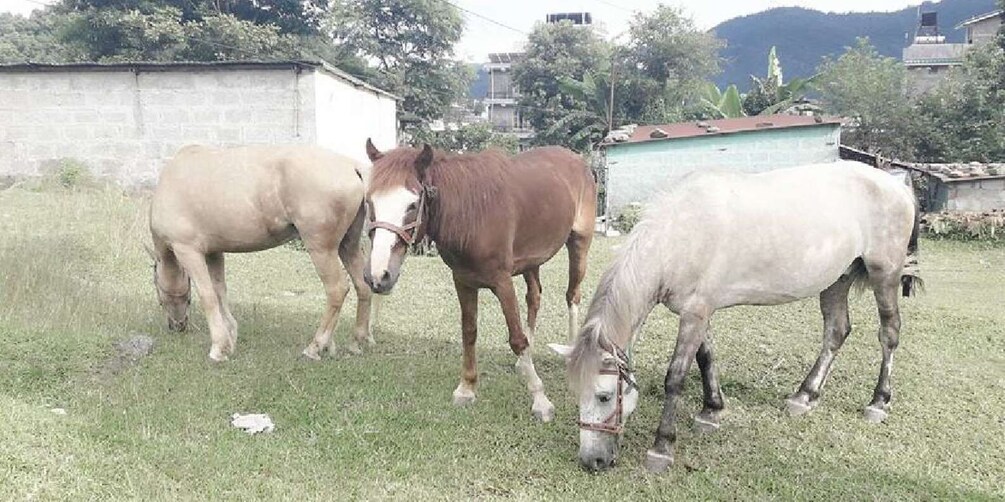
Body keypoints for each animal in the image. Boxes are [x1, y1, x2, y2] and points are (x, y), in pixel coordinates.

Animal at [146, 144, 371, 361]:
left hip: (322, 250)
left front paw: (218, 348)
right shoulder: (213, 252)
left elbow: (208, 295)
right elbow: (220, 291)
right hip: (348, 245)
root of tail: (352, 166)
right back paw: (357, 341)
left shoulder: (188, 251)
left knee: (337, 289)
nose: (177, 325)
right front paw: (230, 338)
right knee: (362, 285)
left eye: (159, 294)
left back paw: (315, 346)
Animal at [363, 139, 590, 421]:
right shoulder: (463, 281)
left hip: (580, 242)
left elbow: (516, 338)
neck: (472, 215)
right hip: (531, 260)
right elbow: (469, 331)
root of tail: (576, 159)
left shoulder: (502, 282)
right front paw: (467, 388)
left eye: (412, 205)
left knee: (572, 295)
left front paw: (540, 400)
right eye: (370, 202)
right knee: (534, 297)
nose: (378, 275)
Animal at [550, 162, 920, 471]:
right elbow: (706, 358)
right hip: (836, 280)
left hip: (884, 274)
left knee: (889, 333)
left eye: (604, 396)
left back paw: (878, 402)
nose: (592, 461)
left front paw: (662, 446)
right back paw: (804, 396)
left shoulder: (696, 312)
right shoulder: (699, 312)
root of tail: (895, 182)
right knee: (836, 331)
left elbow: (676, 377)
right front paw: (711, 410)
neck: (680, 235)